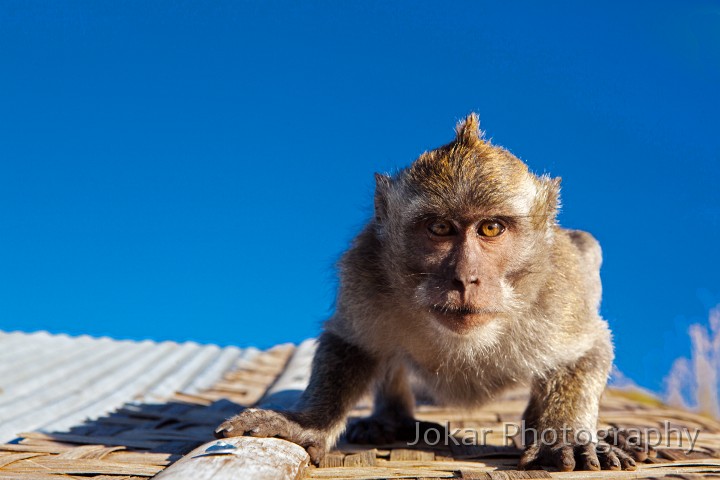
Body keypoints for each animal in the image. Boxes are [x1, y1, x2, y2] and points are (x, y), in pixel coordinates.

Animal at [215, 114, 652, 470]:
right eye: (440, 228)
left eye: (491, 228)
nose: (465, 278)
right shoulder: (365, 268)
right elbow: (354, 343)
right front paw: (307, 425)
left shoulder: (559, 291)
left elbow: (586, 351)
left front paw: (565, 437)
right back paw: (393, 421)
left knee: (588, 247)